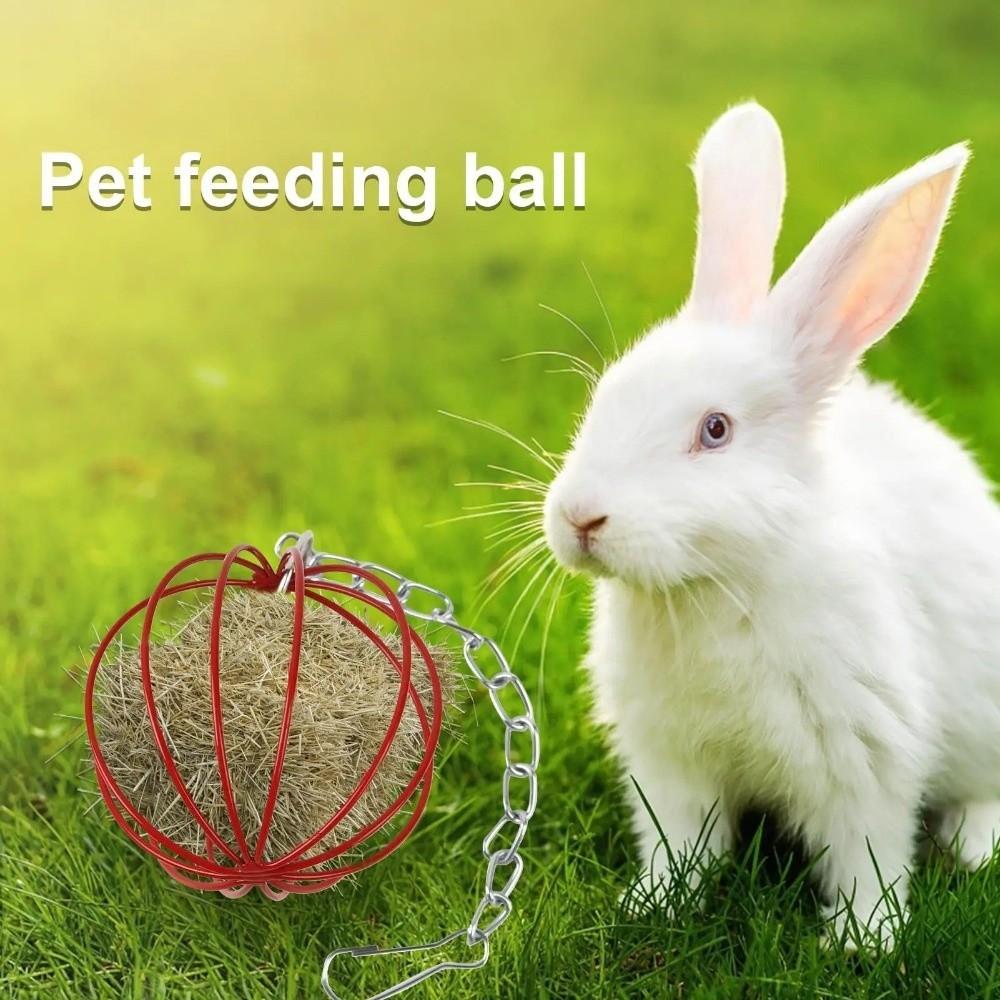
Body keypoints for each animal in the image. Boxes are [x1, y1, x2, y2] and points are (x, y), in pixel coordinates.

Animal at [542, 101, 1000, 948]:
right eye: (606, 395)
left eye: (715, 430)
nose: (580, 517)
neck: (715, 585)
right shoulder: (670, 766)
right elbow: (679, 844)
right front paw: (654, 905)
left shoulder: (865, 759)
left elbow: (867, 856)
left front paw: (862, 943)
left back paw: (973, 847)